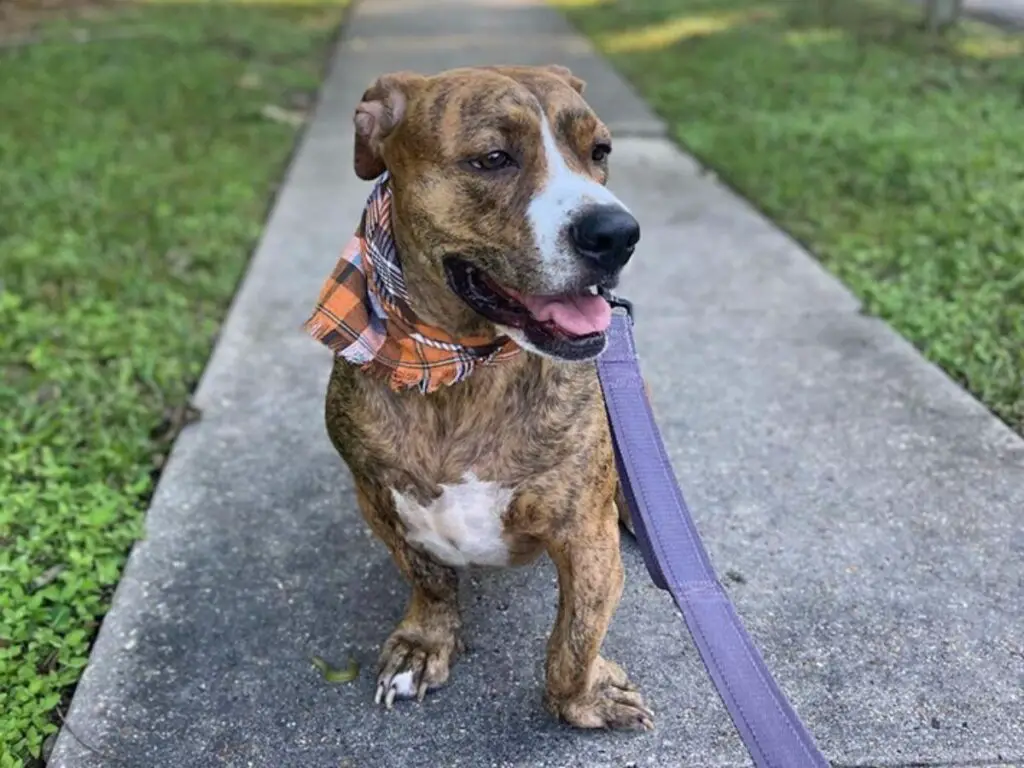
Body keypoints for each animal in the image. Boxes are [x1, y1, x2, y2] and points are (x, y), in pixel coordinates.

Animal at [305, 63, 655, 729]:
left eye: (599, 152)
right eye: (493, 158)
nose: (618, 233)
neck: (458, 369)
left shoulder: (584, 532)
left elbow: (574, 640)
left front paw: (585, 700)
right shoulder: (376, 497)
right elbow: (429, 579)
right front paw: (424, 644)